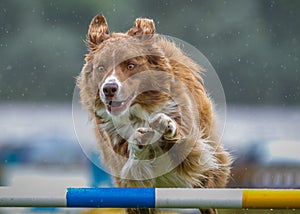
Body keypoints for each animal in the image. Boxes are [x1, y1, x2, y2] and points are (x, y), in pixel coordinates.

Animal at [77, 13, 230, 214]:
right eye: (101, 68)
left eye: (131, 66)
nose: (108, 89)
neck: (137, 112)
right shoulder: (121, 160)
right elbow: (132, 164)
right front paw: (139, 140)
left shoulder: (192, 144)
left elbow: (181, 139)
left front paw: (166, 124)